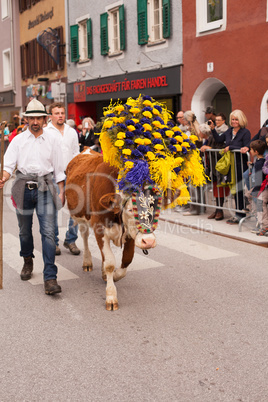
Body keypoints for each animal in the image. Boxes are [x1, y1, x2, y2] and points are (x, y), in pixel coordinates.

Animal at [65, 149, 159, 310]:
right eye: (130, 209)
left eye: (152, 206)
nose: (148, 241)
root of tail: (87, 150)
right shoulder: (100, 230)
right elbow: (109, 263)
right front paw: (111, 296)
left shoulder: (129, 234)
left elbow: (126, 260)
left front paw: (114, 276)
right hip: (81, 218)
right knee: (84, 236)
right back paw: (87, 262)